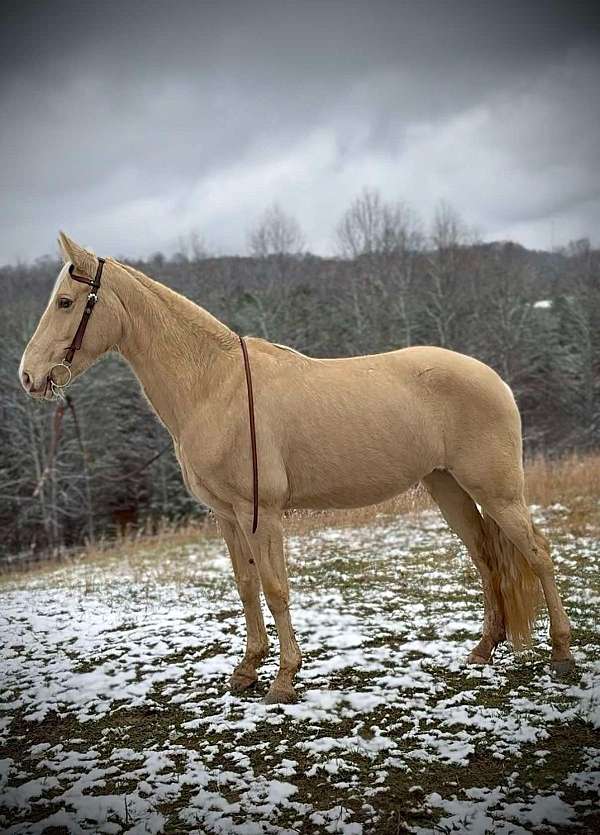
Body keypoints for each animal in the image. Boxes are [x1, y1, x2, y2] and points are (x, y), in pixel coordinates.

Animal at [18, 233, 576, 704]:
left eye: (65, 302)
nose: (28, 376)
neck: (214, 388)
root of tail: (491, 376)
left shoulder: (260, 513)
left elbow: (275, 588)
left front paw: (284, 680)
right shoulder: (226, 517)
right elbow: (246, 588)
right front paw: (247, 671)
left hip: (497, 490)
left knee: (539, 554)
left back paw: (562, 654)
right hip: (450, 490)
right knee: (486, 559)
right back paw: (483, 652)